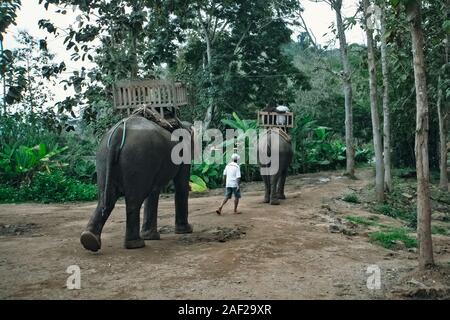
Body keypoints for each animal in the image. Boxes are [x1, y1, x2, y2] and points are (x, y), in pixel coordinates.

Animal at [80, 115, 192, 252]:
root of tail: (118, 133)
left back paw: (89, 239)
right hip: (138, 159)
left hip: (103, 158)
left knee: (105, 199)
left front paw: (151, 237)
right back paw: (136, 244)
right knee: (133, 200)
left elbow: (153, 191)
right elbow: (180, 185)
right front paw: (186, 231)